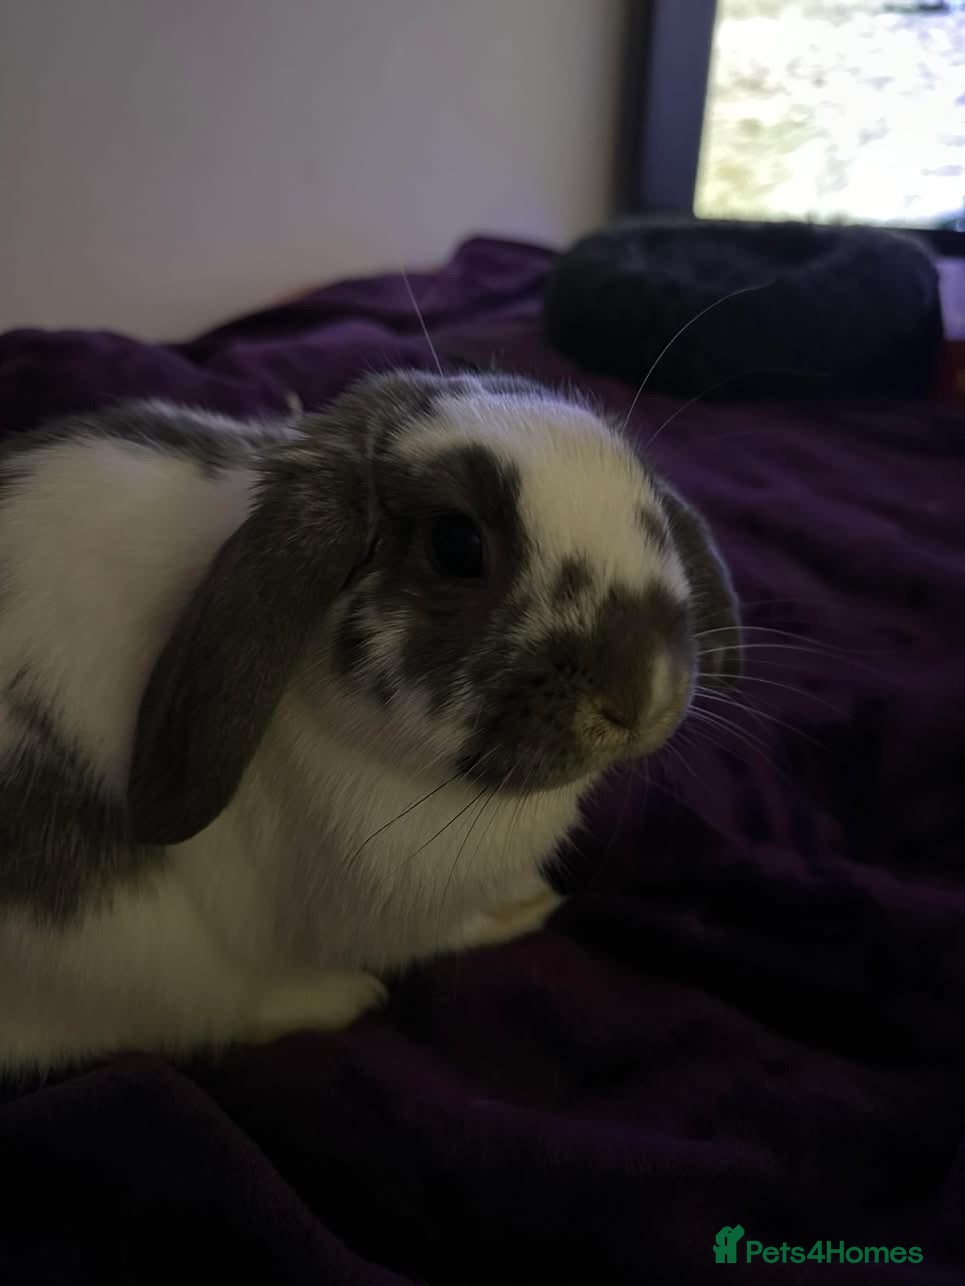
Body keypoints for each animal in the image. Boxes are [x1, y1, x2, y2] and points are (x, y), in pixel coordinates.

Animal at [0, 369, 741, 1072]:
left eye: (651, 509)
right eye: (455, 544)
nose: (642, 697)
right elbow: (443, 933)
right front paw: (524, 909)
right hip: (131, 957)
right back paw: (337, 999)